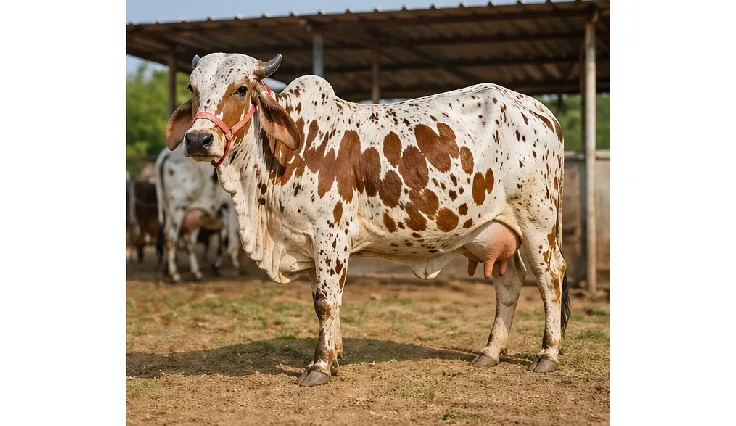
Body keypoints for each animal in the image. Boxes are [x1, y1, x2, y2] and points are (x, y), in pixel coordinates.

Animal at [154, 144, 241, 282]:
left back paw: (195, 273)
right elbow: (230, 241)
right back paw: (175, 274)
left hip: (174, 212)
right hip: (177, 210)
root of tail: (167, 153)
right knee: (171, 237)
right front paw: (233, 267)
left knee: (188, 243)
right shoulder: (230, 211)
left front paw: (218, 266)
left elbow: (223, 241)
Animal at [164, 52, 570, 387]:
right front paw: (334, 357)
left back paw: (547, 354)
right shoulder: (310, 242)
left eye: (242, 88)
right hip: (496, 231)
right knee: (509, 284)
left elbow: (326, 302)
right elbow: (321, 299)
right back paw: (489, 352)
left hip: (537, 223)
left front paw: (319, 366)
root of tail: (543, 112)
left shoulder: (330, 237)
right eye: (193, 88)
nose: (198, 139)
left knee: (550, 278)